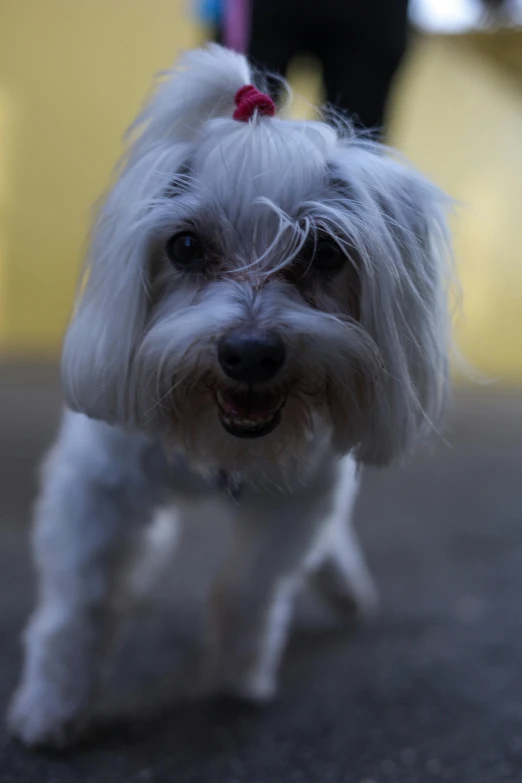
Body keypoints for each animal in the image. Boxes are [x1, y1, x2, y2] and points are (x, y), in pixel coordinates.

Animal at [8, 47, 450, 748]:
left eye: (324, 252)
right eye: (185, 246)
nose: (250, 353)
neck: (215, 445)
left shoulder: (300, 498)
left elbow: (252, 590)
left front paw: (242, 670)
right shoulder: (97, 484)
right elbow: (80, 605)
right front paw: (53, 705)